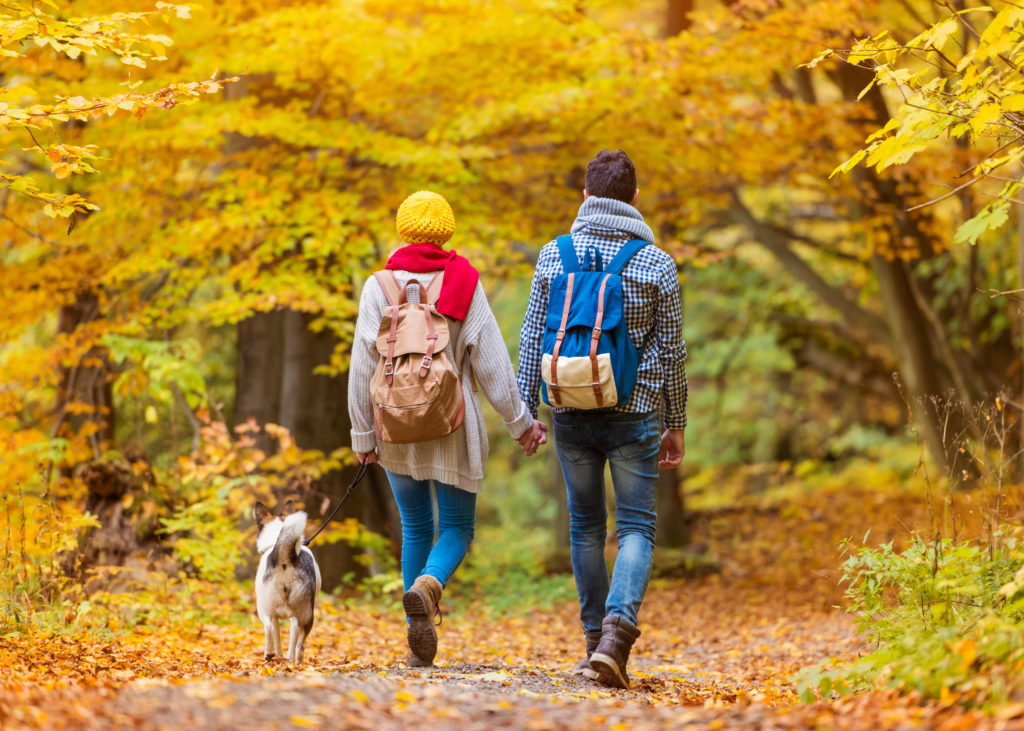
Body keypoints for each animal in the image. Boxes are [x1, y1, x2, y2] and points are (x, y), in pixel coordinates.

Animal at [253, 497, 321, 663]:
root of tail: (285, 557)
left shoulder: (276, 615)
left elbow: (278, 636)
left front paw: (279, 655)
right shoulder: (292, 618)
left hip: (264, 608)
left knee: (268, 628)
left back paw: (269, 655)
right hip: (304, 614)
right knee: (299, 646)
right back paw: (296, 663)